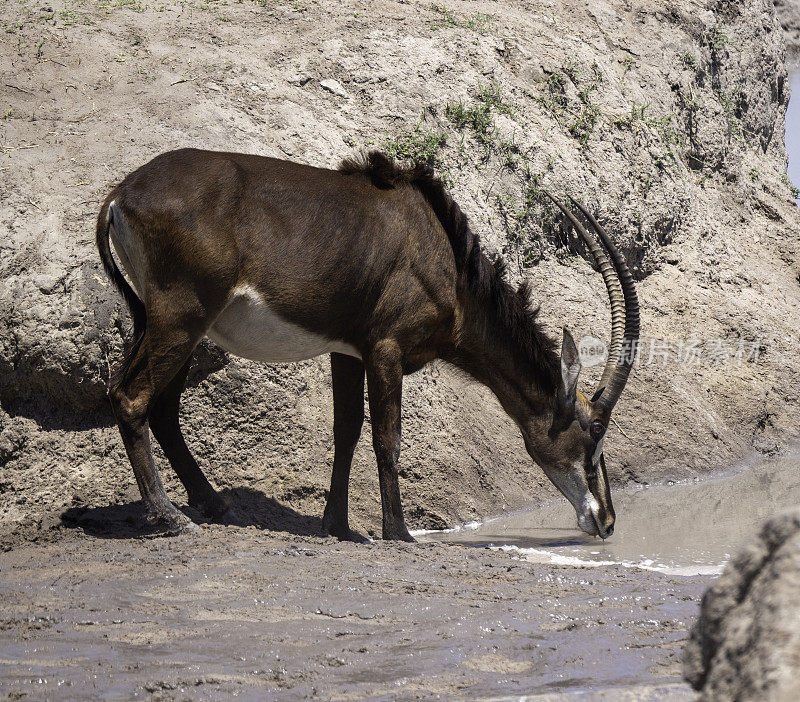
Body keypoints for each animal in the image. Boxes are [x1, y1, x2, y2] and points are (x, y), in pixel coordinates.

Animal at [95, 148, 636, 544]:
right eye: (595, 434)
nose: (608, 522)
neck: (445, 257)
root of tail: (121, 194)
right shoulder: (385, 349)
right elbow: (387, 438)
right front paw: (399, 533)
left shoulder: (347, 351)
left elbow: (347, 431)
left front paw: (337, 526)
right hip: (182, 318)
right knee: (131, 396)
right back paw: (171, 518)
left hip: (180, 326)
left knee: (163, 408)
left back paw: (210, 504)